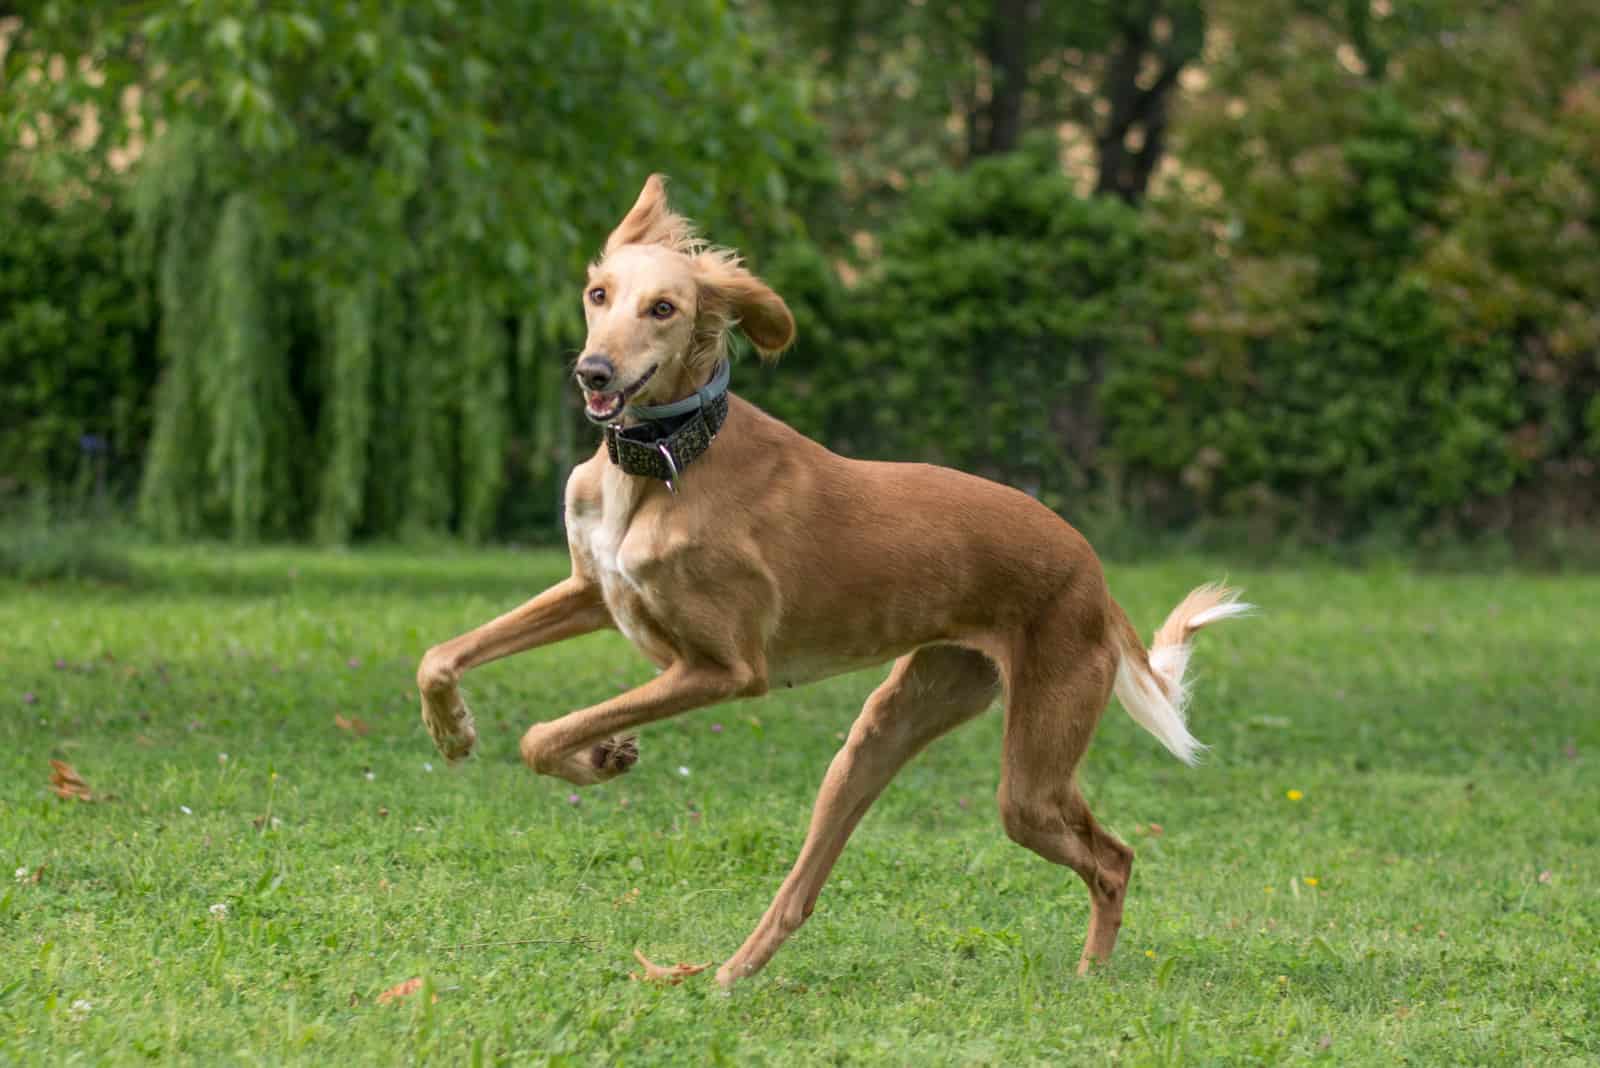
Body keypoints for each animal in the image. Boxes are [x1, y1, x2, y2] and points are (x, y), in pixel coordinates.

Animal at [416, 175, 1248, 984]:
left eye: (664, 308)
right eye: (598, 294)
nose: (594, 372)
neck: (667, 462)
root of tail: (1093, 571)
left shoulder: (723, 669)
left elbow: (539, 735)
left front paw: (596, 756)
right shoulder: (593, 593)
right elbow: (439, 657)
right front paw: (460, 734)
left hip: (1031, 772)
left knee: (1114, 857)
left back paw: (1090, 976)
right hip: (887, 732)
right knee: (805, 892)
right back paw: (728, 973)